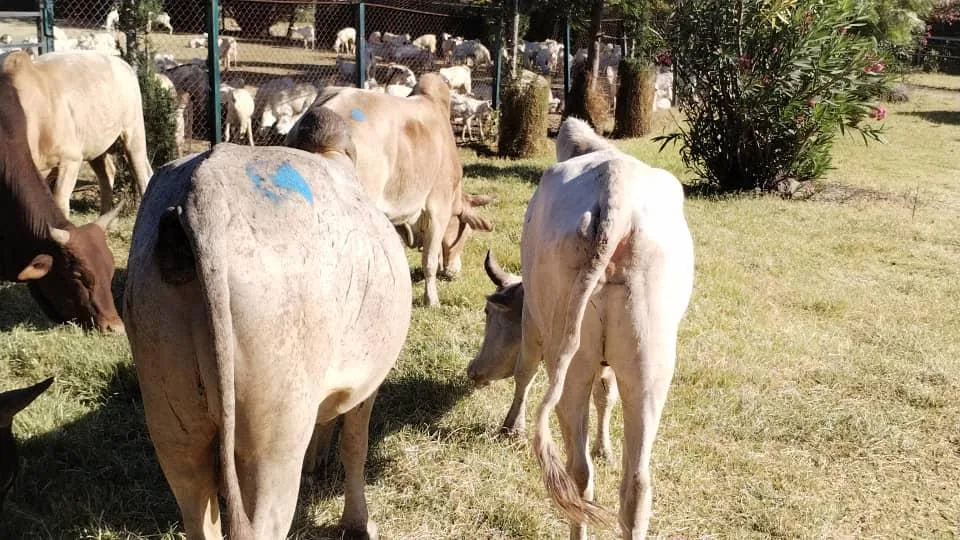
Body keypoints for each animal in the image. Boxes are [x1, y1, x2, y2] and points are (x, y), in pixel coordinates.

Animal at [1, 51, 152, 217]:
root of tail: (122, 63)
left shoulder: (70, 158)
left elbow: (60, 203)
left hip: (133, 131)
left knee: (143, 173)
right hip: (95, 144)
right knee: (108, 173)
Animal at [124, 117, 412, 539]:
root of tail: (205, 189)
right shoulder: (367, 383)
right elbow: (355, 448)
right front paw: (358, 523)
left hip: (172, 421)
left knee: (195, 506)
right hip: (274, 439)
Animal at [466, 117, 694, 539]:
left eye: (489, 314)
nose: (473, 371)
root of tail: (615, 190)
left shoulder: (532, 319)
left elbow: (524, 371)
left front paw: (511, 426)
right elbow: (606, 395)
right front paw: (606, 446)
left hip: (569, 360)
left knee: (578, 474)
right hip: (649, 368)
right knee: (636, 483)